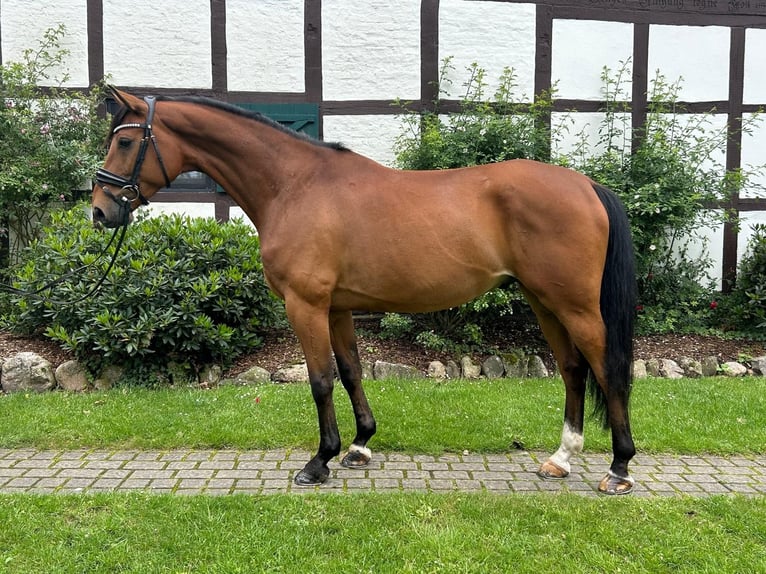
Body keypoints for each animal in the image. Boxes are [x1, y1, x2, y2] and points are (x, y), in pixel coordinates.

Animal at [93, 89, 640, 496]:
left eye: (125, 142)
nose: (100, 209)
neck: (295, 185)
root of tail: (586, 185)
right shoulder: (337, 308)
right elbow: (352, 371)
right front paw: (359, 447)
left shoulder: (305, 305)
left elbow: (320, 380)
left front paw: (318, 462)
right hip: (543, 301)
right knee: (572, 370)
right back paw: (561, 459)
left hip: (573, 304)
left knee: (609, 368)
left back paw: (619, 469)